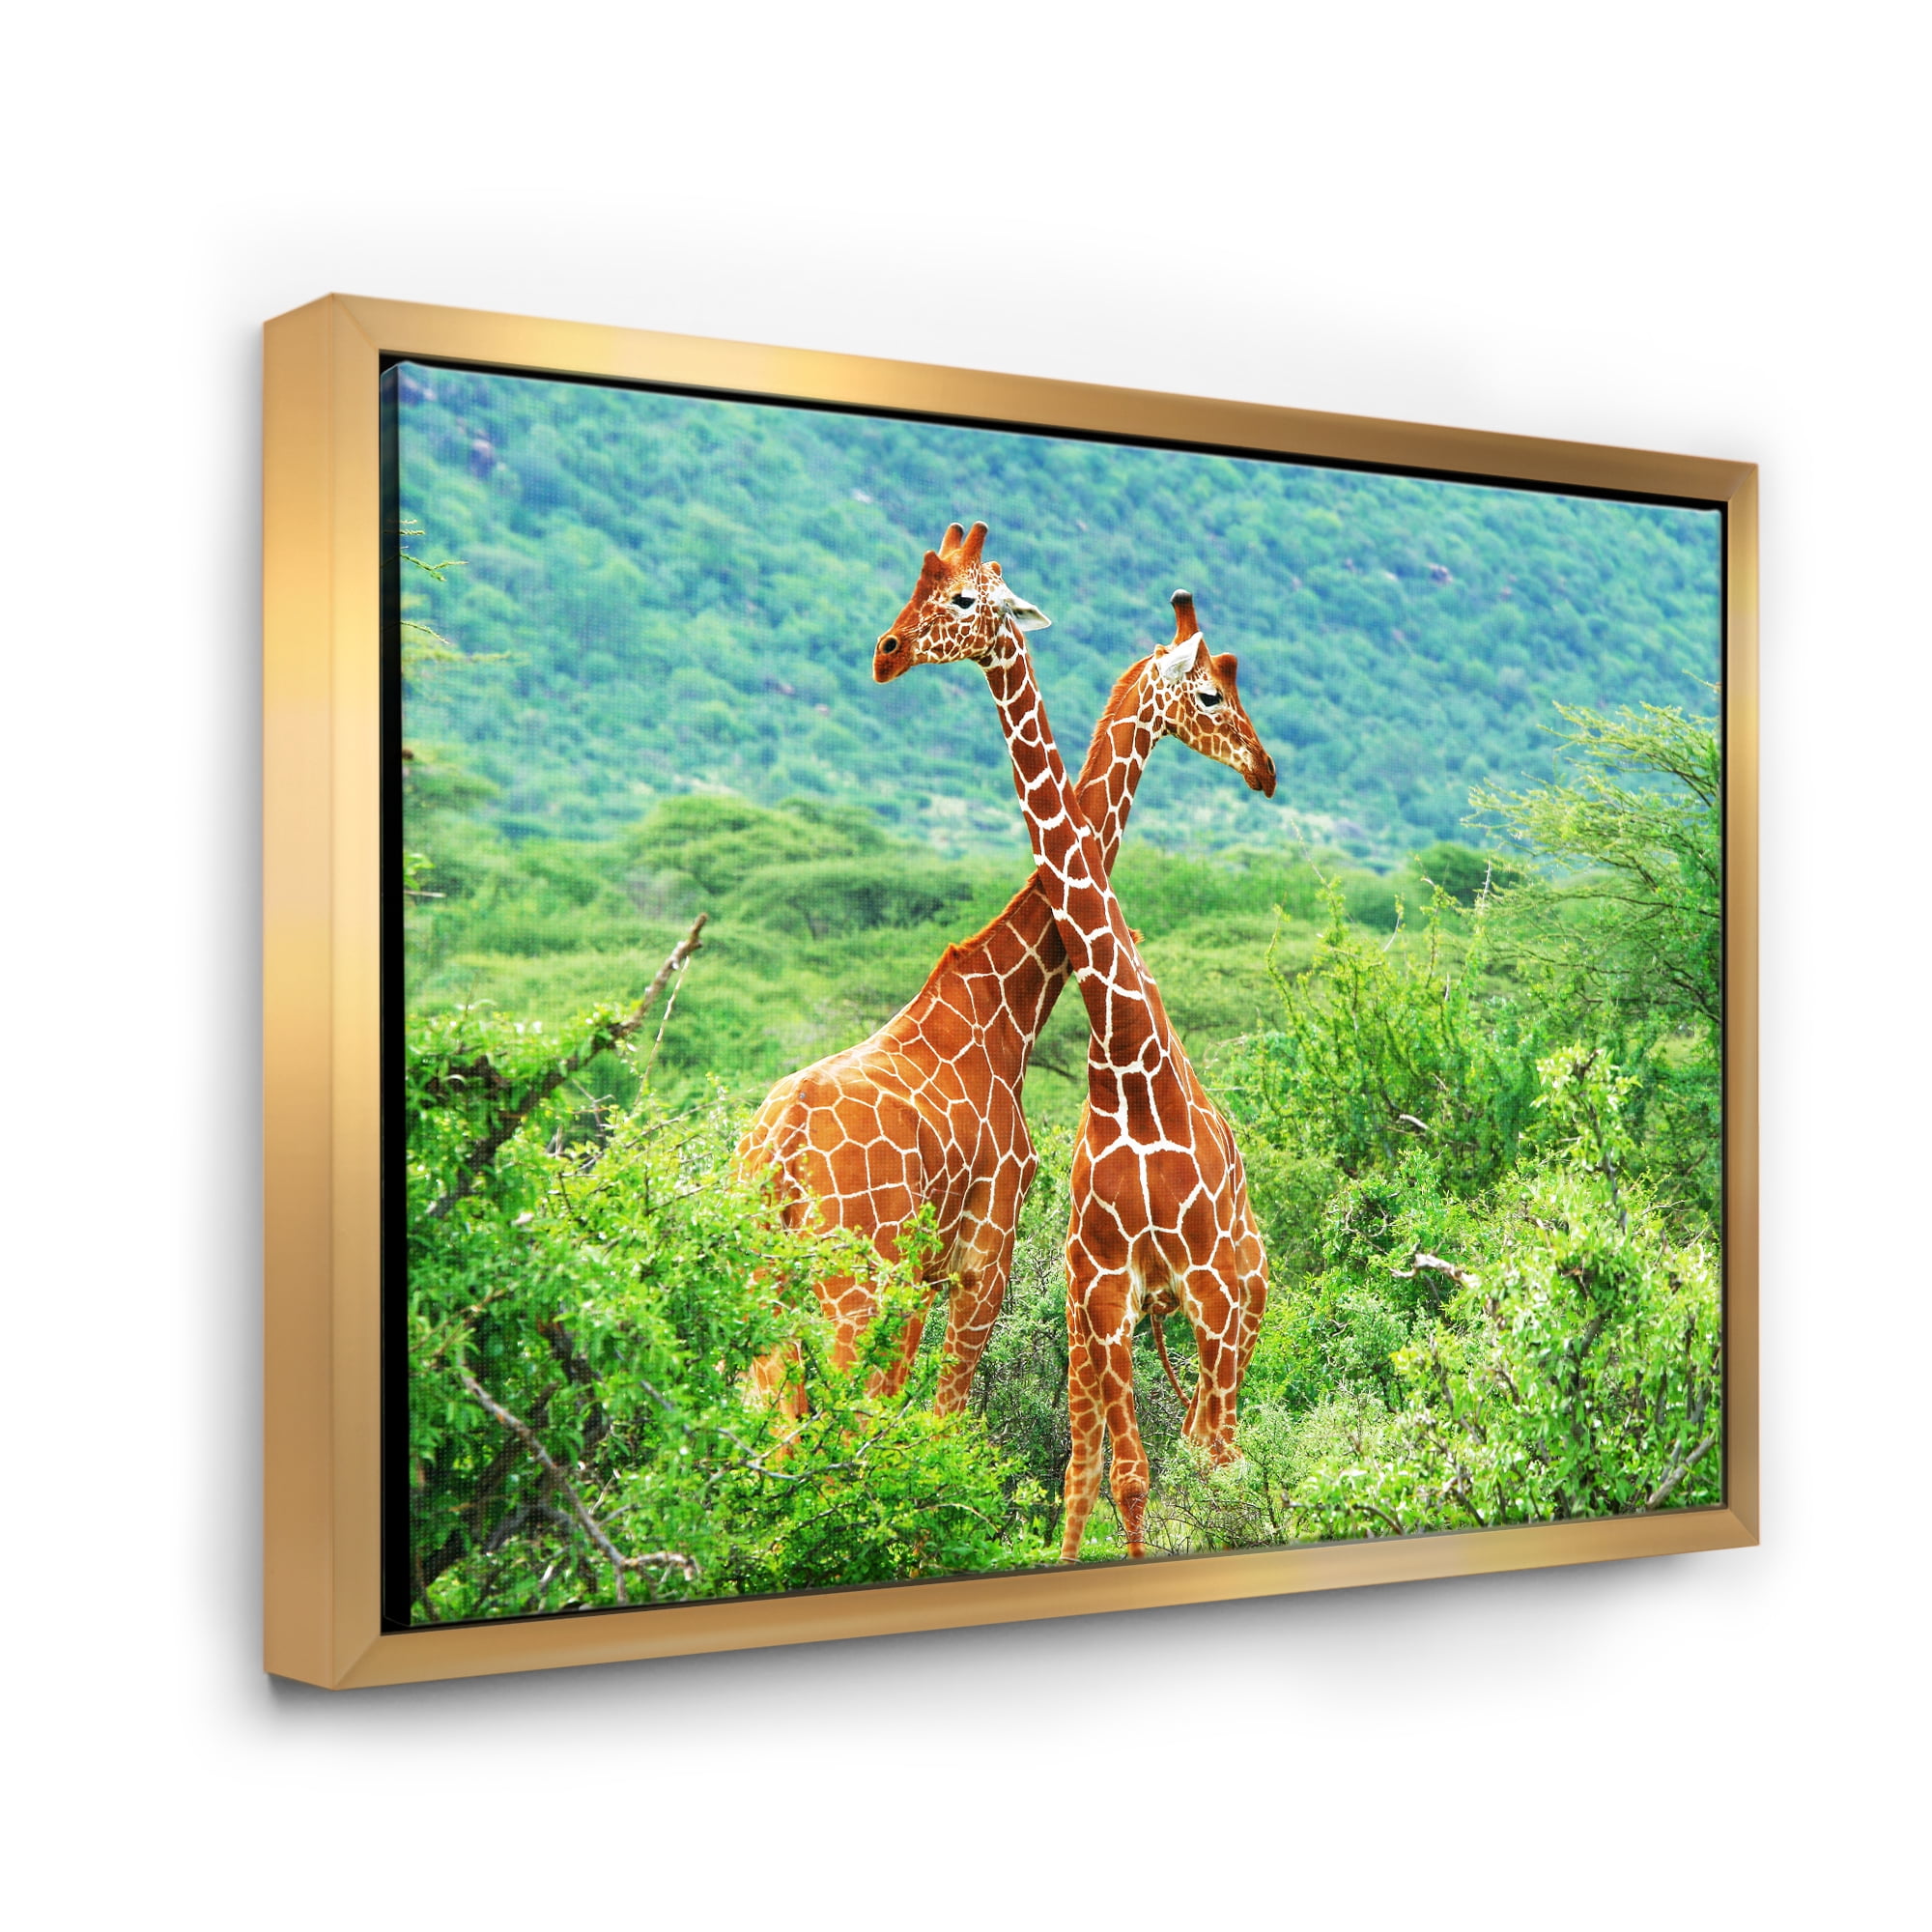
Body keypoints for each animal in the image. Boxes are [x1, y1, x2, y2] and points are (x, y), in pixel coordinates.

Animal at [739, 528, 1272, 1416]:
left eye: (954, 595)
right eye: (1210, 696)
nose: (1264, 768)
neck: (1011, 1002)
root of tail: (776, 1151)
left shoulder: (934, 1271)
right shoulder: (987, 1250)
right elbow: (939, 1417)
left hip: (765, 1279)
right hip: (852, 1281)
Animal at [874, 522, 1273, 1560]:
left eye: (963, 598)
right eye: (1211, 692)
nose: (1265, 770)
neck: (1127, 1064)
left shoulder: (1199, 1291)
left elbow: (1186, 1466)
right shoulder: (1102, 1290)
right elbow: (1115, 1476)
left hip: (1240, 1300)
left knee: (1222, 1449)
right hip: (1108, 1318)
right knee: (1102, 1463)